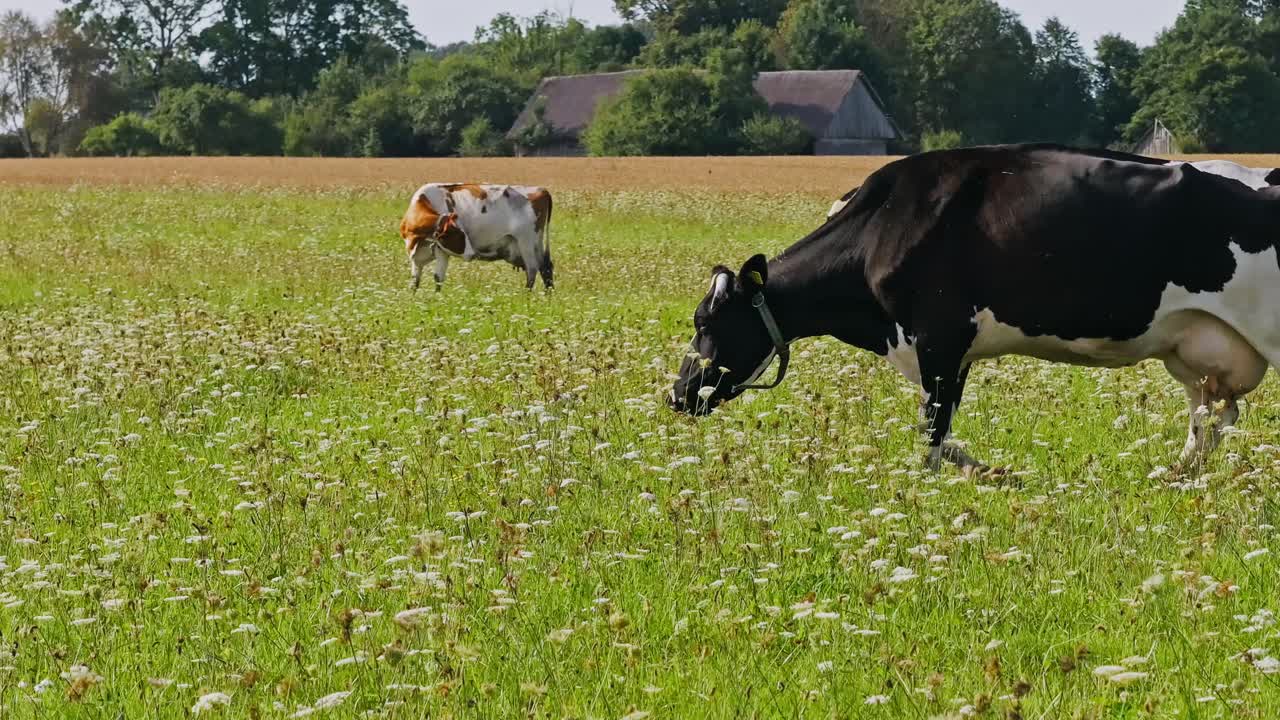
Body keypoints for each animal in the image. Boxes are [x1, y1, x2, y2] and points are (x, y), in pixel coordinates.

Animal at [399, 183, 553, 291]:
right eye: (458, 235)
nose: (472, 254)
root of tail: (542, 189)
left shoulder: (441, 250)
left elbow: (438, 277)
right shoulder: (417, 256)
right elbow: (415, 280)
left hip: (526, 242)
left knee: (532, 270)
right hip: (536, 244)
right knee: (545, 268)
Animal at [670, 143, 1280, 475]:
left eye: (706, 322)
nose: (677, 394)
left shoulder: (939, 338)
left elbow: (932, 434)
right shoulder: (951, 351)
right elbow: (943, 433)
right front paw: (987, 468)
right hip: (1196, 351)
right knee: (1208, 421)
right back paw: (1174, 476)